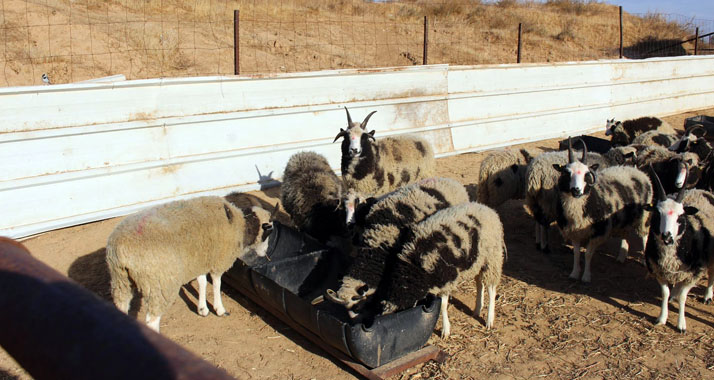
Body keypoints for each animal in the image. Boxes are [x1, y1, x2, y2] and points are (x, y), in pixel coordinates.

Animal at [105, 196, 278, 332]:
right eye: (268, 231)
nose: (265, 253)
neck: (241, 225)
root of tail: (121, 247)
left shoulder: (199, 258)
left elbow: (202, 281)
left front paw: (202, 309)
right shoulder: (218, 260)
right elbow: (216, 283)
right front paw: (219, 309)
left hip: (120, 280)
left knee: (121, 305)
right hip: (160, 283)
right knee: (152, 320)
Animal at [552, 137, 652, 282]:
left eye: (587, 174)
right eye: (567, 173)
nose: (576, 190)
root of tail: (637, 171)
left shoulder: (598, 232)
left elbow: (587, 254)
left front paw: (586, 277)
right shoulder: (574, 232)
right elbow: (576, 254)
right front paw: (574, 273)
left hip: (643, 216)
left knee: (644, 236)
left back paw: (644, 261)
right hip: (625, 218)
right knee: (626, 233)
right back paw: (621, 256)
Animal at [640, 169, 712, 332]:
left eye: (680, 216)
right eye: (657, 213)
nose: (667, 236)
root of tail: (702, 190)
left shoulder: (693, 274)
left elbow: (683, 297)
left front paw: (681, 324)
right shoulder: (658, 270)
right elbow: (665, 293)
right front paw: (662, 318)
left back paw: (708, 296)